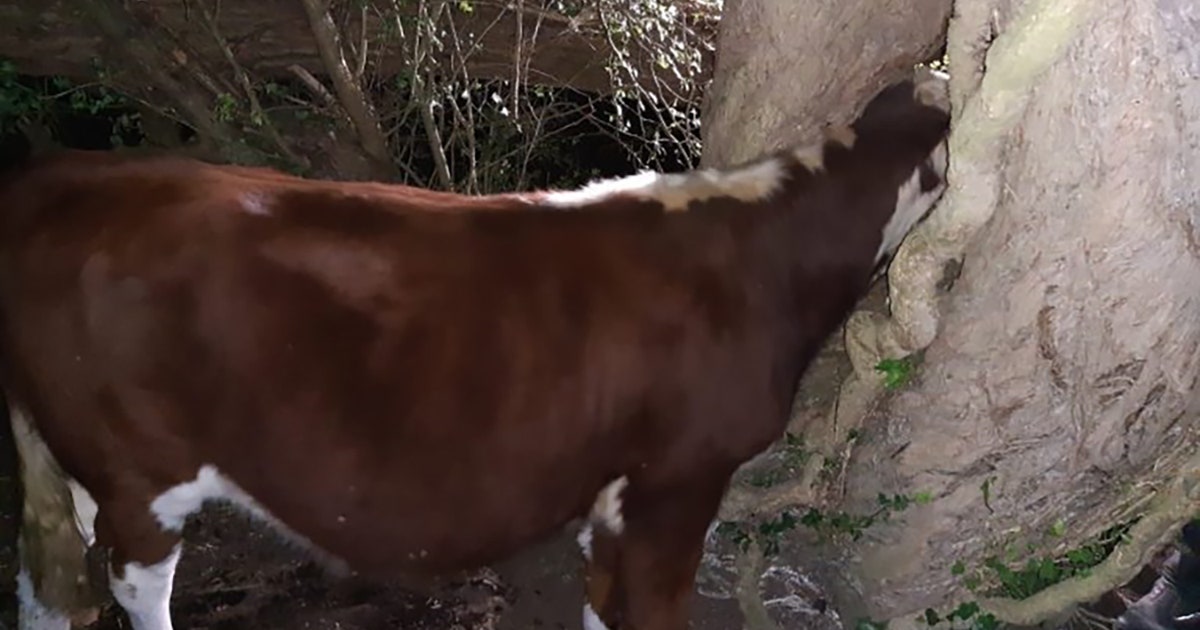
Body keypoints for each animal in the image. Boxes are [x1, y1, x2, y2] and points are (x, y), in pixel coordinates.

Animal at [2, 71, 951, 630]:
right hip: (137, 466)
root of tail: (67, 173)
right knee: (134, 583)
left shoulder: (616, 492)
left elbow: (604, 605)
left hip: (65, 456)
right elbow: (650, 608)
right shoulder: (681, 476)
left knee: (50, 583)